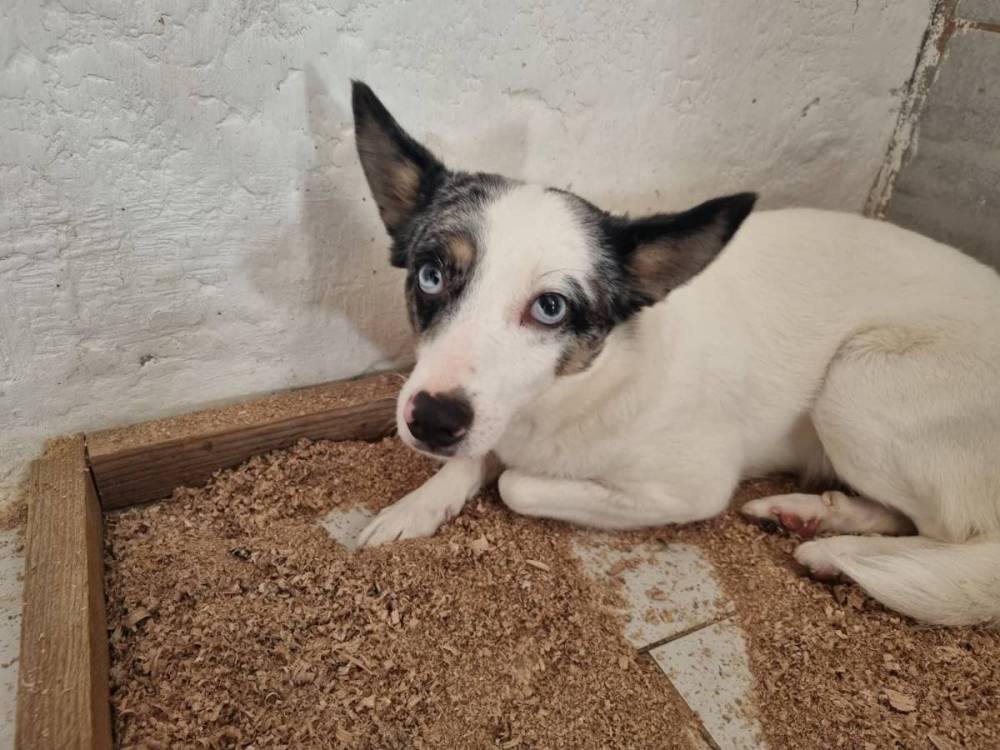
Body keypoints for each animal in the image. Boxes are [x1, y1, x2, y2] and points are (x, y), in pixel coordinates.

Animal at [343, 81, 1000, 627]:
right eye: (431, 276)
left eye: (551, 307)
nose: (431, 421)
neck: (577, 389)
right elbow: (472, 461)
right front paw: (415, 508)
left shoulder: (691, 487)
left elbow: (516, 485)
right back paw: (814, 515)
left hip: (859, 378)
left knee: (962, 539)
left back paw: (839, 552)